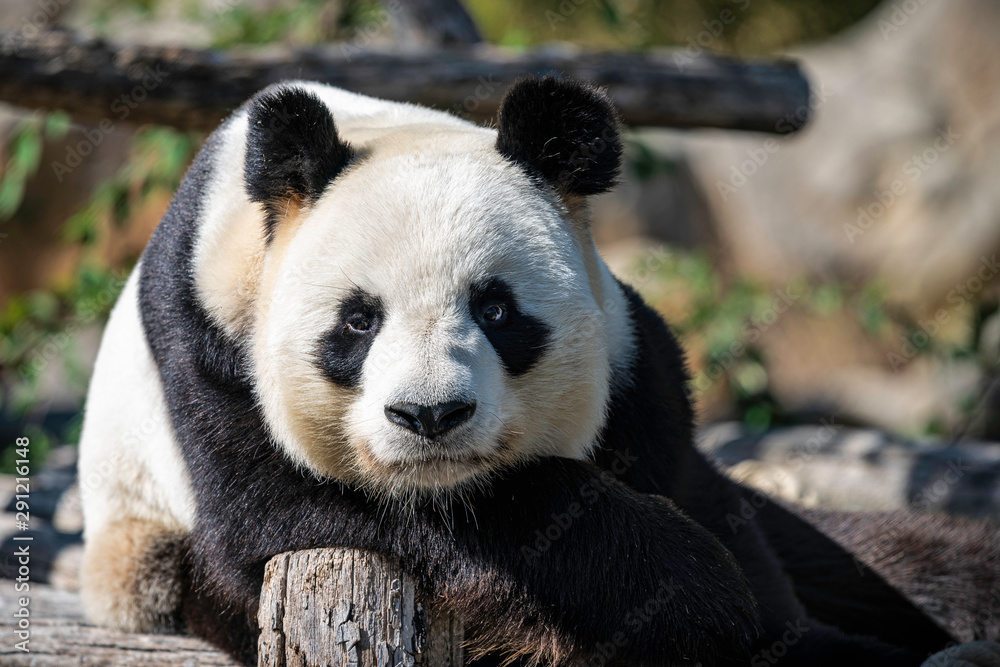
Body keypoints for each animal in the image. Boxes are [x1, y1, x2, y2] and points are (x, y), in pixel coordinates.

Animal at [77, 76, 1000, 666]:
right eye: (358, 320)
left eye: (496, 309)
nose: (429, 416)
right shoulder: (207, 357)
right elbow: (286, 509)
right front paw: (690, 594)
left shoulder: (639, 380)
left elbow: (716, 515)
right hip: (146, 550)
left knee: (896, 559)